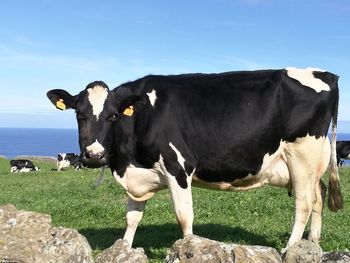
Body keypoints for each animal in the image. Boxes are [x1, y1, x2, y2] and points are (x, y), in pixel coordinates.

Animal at [47, 68, 344, 252]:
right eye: (80, 115)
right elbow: (131, 218)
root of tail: (325, 74)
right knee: (318, 197)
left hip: (303, 156)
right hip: (311, 163)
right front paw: (125, 248)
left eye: (112, 116)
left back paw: (290, 248)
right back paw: (313, 244)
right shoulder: (138, 176)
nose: (94, 155)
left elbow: (184, 217)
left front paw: (190, 248)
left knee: (304, 204)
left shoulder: (178, 167)